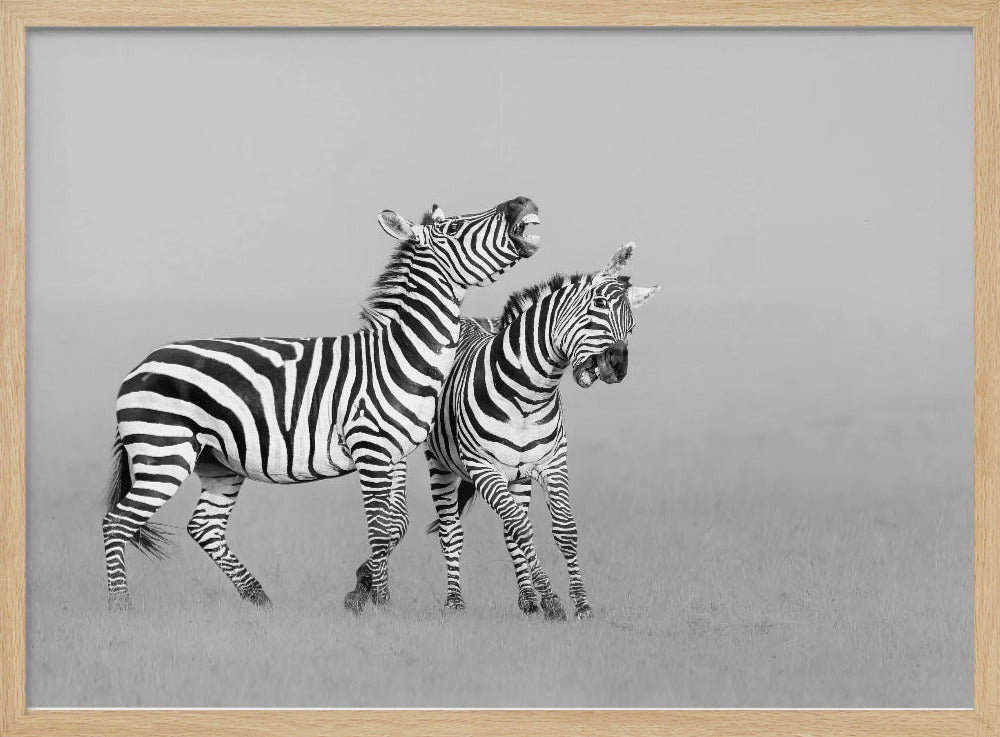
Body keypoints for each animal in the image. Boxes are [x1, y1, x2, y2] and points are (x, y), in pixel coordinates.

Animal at [102, 196, 541, 613]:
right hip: (164, 453)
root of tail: (139, 367)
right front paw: (381, 603)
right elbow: (379, 526)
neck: (401, 353)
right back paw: (121, 606)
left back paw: (259, 597)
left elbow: (396, 523)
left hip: (217, 462)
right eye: (453, 229)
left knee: (203, 527)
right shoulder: (371, 448)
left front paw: (363, 588)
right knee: (116, 523)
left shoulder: (395, 454)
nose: (522, 202)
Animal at [419, 237, 660, 620]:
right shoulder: (484, 468)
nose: (618, 365)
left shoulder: (552, 463)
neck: (528, 396)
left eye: (632, 325)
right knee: (452, 531)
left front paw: (579, 603)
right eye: (598, 306)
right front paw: (553, 599)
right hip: (440, 464)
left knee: (509, 528)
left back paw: (527, 599)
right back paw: (455, 600)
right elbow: (522, 527)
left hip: (517, 476)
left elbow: (563, 530)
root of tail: (469, 320)